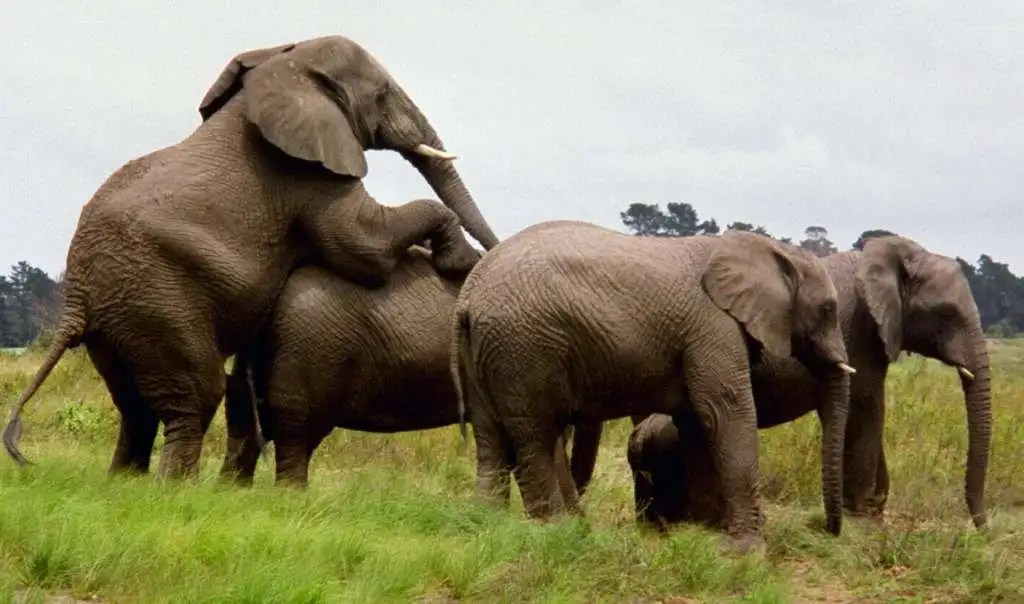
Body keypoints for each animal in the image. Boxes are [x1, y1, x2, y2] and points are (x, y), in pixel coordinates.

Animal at [3, 35, 500, 479]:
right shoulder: (305, 172)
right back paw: (176, 489)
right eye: (381, 96)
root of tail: (76, 298)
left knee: (135, 405)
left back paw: (126, 482)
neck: (282, 65)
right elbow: (362, 247)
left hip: (121, 322)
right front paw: (457, 260)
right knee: (197, 393)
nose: (489, 253)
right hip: (158, 300)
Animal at [449, 220, 855, 548]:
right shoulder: (713, 329)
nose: (829, 531)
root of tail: (468, 296)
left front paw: (703, 533)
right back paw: (556, 532)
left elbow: (697, 423)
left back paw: (488, 523)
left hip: (488, 350)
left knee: (492, 437)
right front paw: (747, 548)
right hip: (523, 347)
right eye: (827, 310)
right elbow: (726, 411)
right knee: (535, 435)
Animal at [582, 234, 992, 531]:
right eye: (948, 314)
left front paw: (869, 515)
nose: (981, 528)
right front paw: (865, 523)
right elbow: (866, 413)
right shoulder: (861, 338)